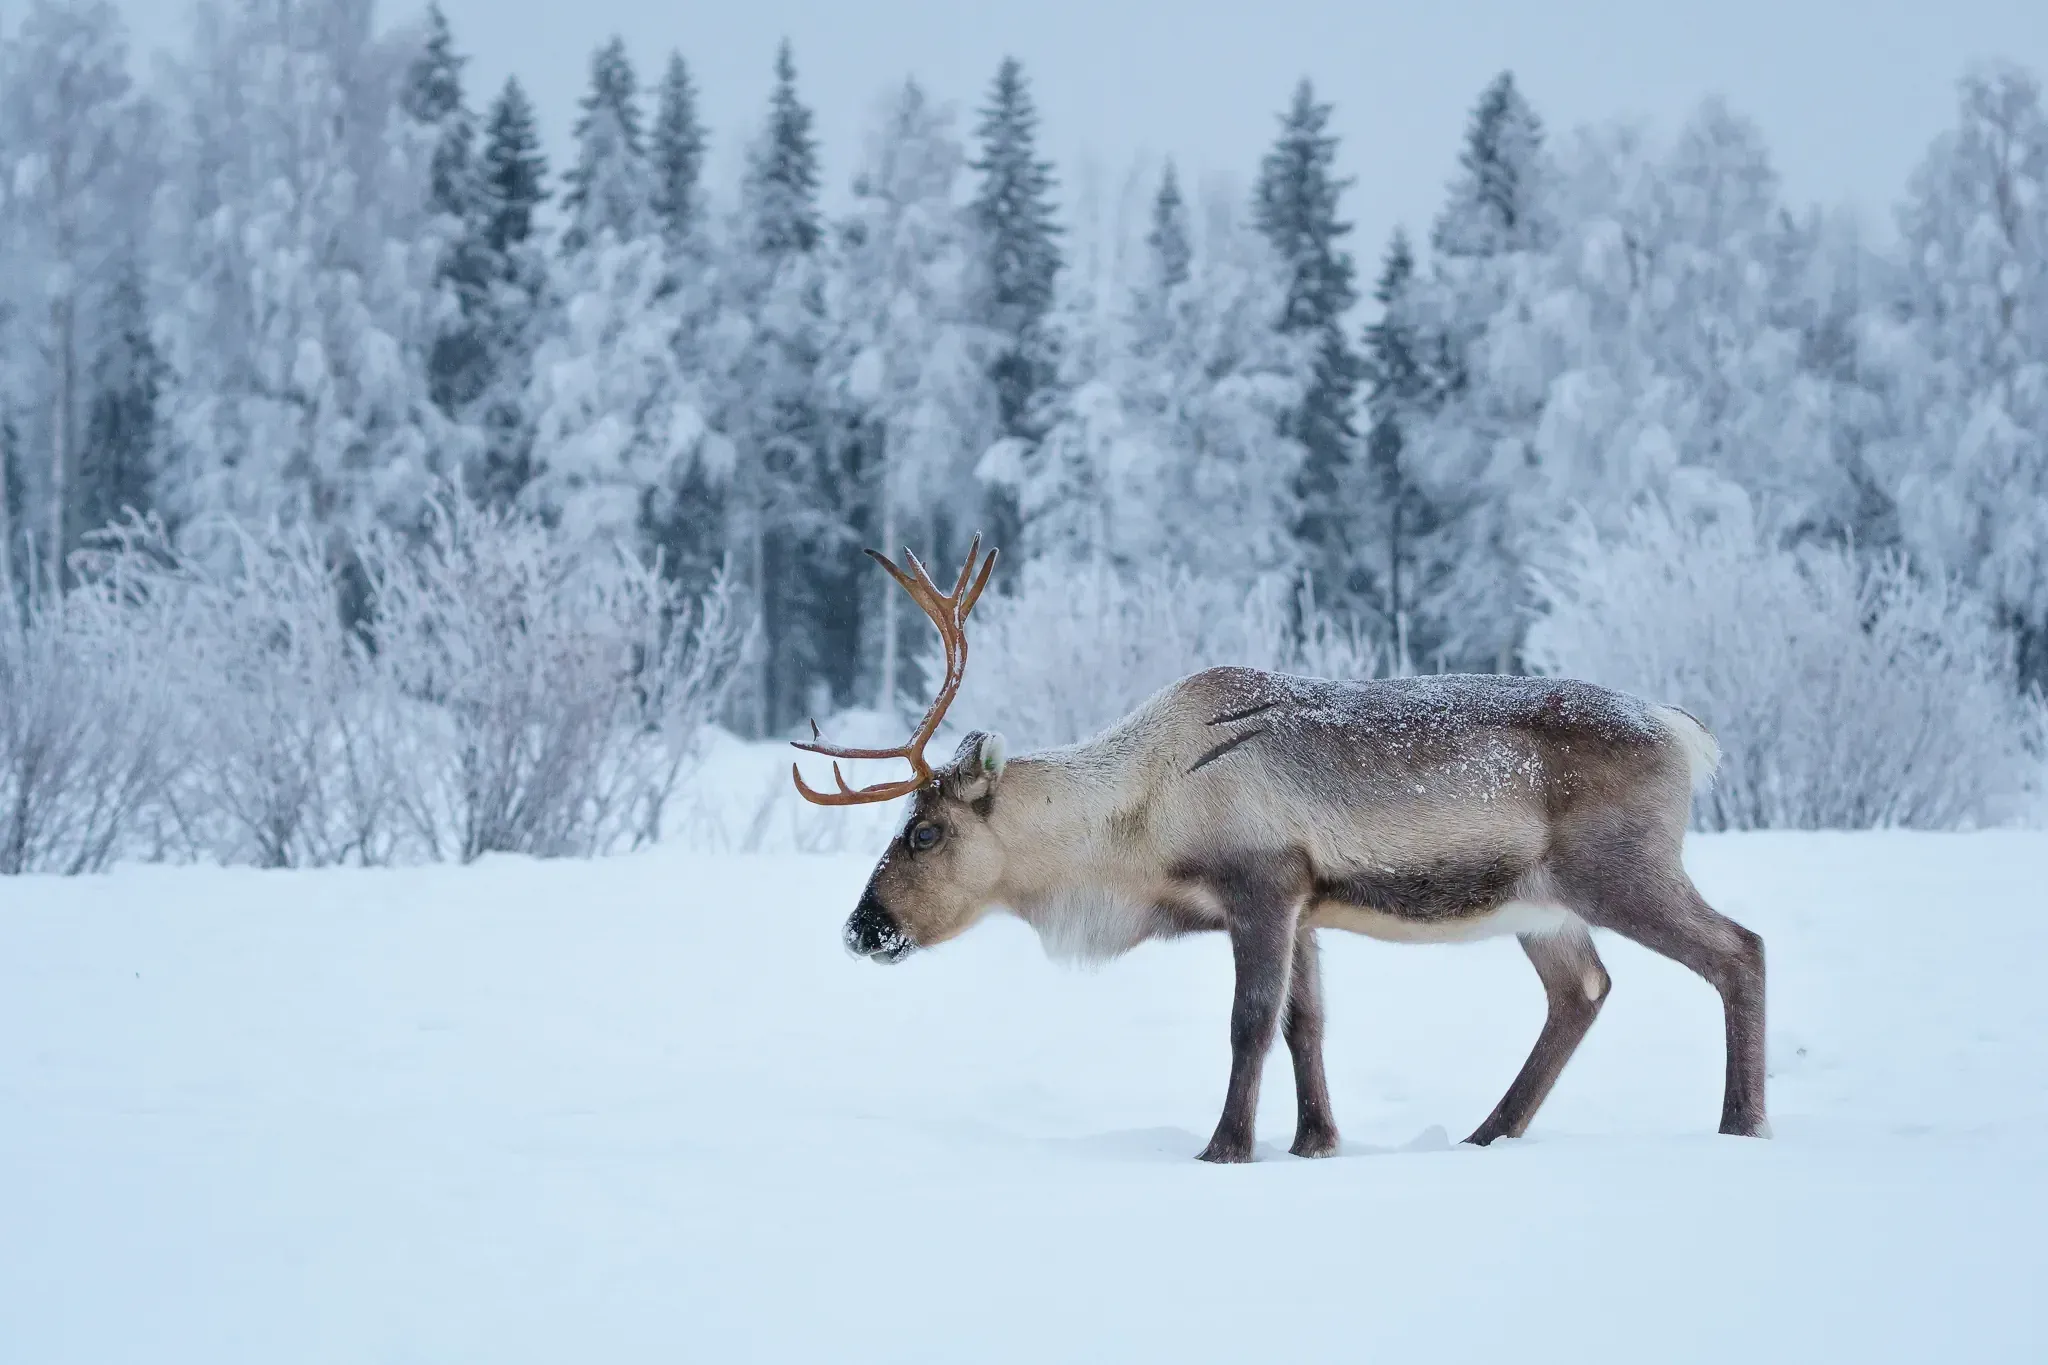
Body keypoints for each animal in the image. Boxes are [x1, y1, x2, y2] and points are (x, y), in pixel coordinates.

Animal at [792, 538, 1767, 1163]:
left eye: (925, 830)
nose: (861, 927)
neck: (1134, 836)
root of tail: (1686, 732)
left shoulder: (1261, 885)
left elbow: (1250, 1020)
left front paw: (1224, 1147)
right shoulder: (1307, 904)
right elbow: (1308, 1023)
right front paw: (1315, 1141)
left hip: (1620, 868)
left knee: (1739, 948)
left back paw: (1741, 1124)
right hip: (1541, 905)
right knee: (1583, 990)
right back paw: (1487, 1134)